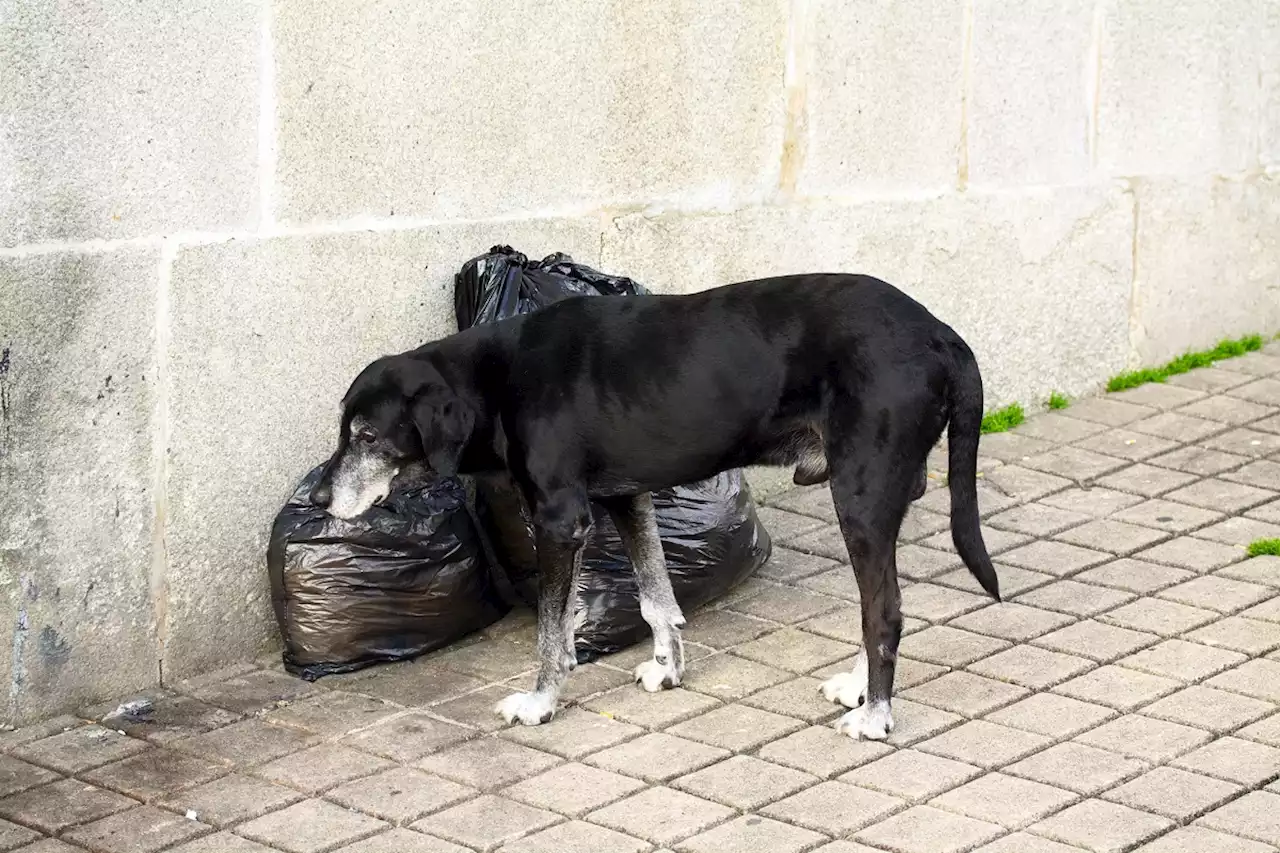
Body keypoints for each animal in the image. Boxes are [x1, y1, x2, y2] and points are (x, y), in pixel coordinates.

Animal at [312, 274, 998, 737]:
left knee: (883, 611)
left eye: (367, 436)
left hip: (859, 496)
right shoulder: (626, 498)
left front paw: (540, 702)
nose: (319, 498)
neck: (496, 378)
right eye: (346, 430)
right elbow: (655, 597)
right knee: (877, 603)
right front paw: (667, 670)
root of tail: (943, 335)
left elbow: (551, 632)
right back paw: (859, 689)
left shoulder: (561, 520)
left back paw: (876, 715)